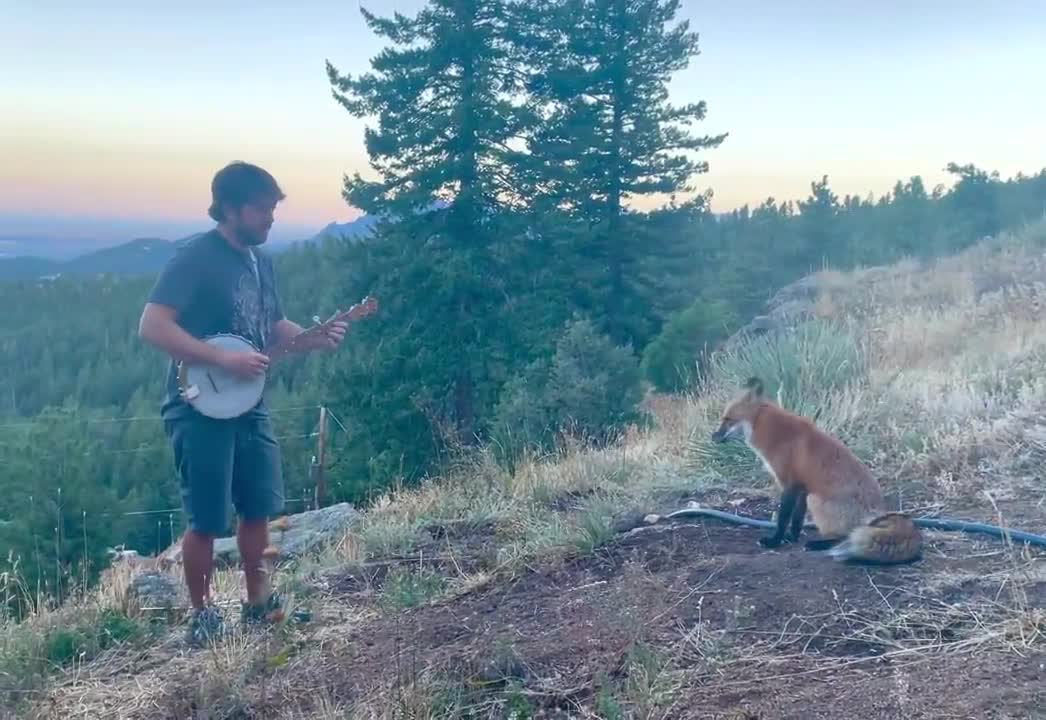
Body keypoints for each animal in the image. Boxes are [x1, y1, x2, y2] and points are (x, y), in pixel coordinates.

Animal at [711, 374, 924, 565]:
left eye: (728, 419)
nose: (713, 437)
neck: (770, 429)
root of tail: (876, 513)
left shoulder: (789, 483)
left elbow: (783, 517)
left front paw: (775, 541)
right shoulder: (802, 487)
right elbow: (796, 519)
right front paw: (791, 538)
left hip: (816, 501)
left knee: (846, 535)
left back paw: (819, 544)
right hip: (812, 498)